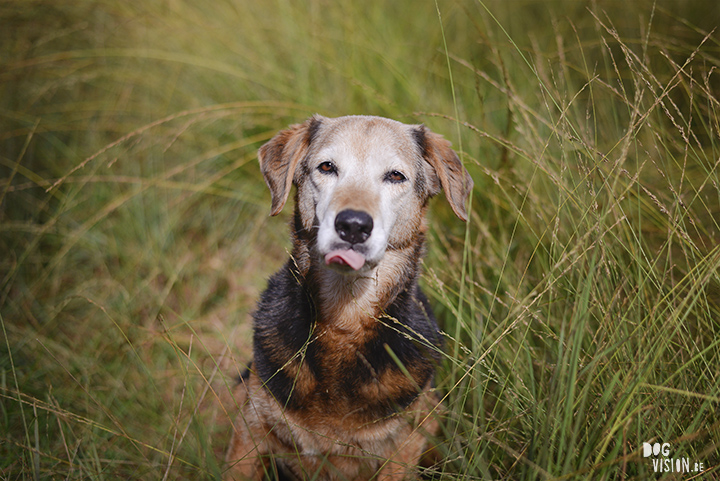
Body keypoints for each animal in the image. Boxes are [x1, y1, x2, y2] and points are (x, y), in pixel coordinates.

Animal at [225, 115, 472, 480]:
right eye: (327, 167)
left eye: (395, 176)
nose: (353, 225)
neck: (345, 317)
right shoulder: (251, 427)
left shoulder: (406, 445)